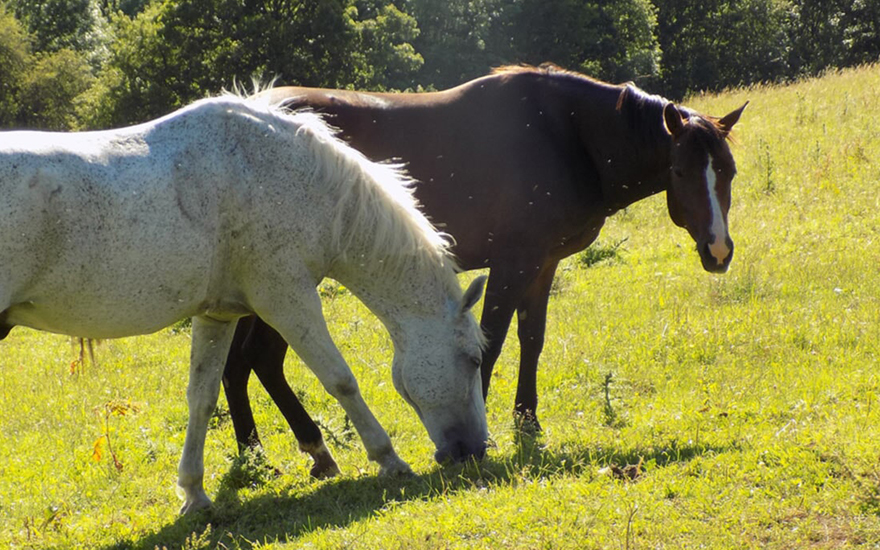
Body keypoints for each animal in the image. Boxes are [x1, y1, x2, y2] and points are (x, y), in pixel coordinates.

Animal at [0, 94, 488, 512]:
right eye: (474, 360)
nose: (475, 451)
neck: (284, 173)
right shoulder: (287, 300)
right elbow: (341, 380)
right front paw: (388, 459)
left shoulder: (216, 315)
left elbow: (202, 397)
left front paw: (194, 493)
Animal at [220, 66, 744, 478]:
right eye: (680, 172)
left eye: (730, 172)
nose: (718, 250)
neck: (566, 136)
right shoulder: (512, 263)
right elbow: (489, 343)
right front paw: (482, 426)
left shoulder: (543, 264)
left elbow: (532, 339)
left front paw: (527, 422)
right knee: (259, 359)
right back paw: (297, 453)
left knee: (241, 365)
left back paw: (259, 456)